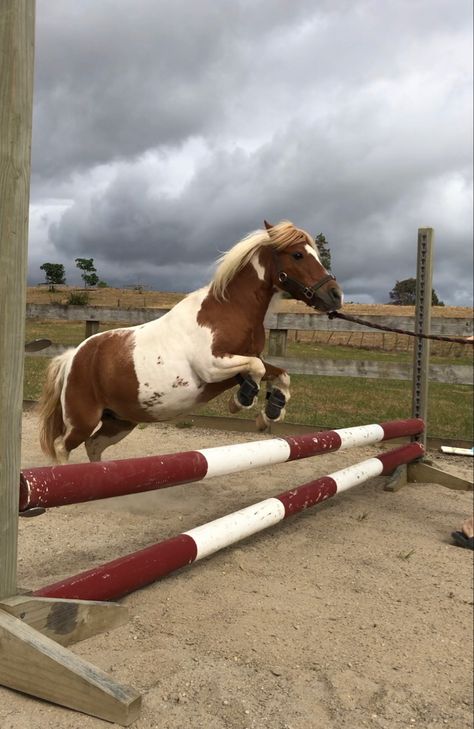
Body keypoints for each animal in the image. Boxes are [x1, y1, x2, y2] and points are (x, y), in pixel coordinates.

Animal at [37, 219, 340, 464]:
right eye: (298, 254)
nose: (335, 296)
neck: (229, 311)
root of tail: (73, 357)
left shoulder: (235, 365)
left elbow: (278, 373)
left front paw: (271, 412)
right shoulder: (213, 366)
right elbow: (257, 368)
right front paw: (241, 401)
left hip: (120, 421)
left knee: (94, 446)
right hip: (83, 420)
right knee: (62, 446)